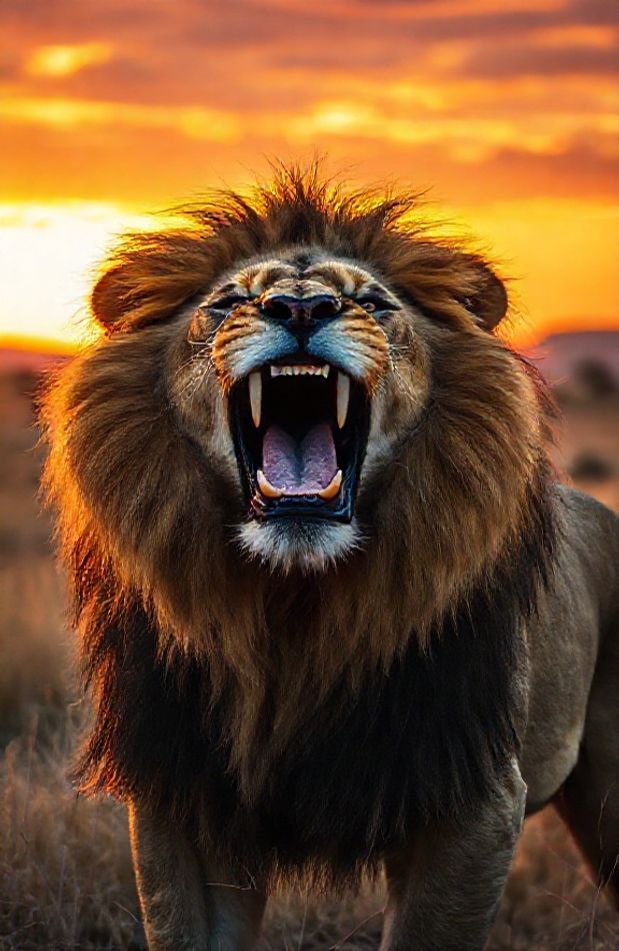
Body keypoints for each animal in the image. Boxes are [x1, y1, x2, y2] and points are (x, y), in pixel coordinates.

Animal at [43, 167, 619, 951]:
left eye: (371, 302)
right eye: (228, 302)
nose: (300, 306)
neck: (297, 608)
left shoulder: (472, 802)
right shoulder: (181, 799)